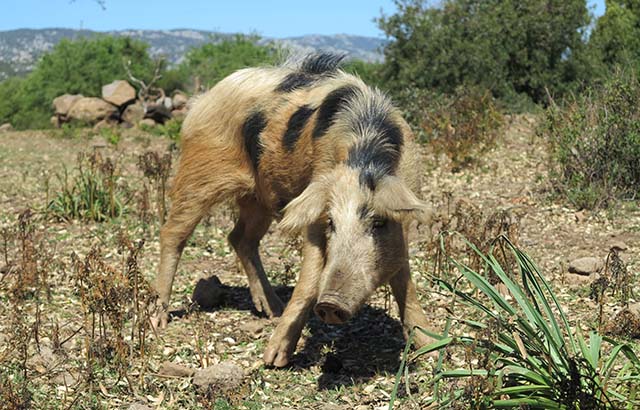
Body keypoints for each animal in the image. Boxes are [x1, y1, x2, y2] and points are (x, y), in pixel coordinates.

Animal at [152, 53, 435, 367]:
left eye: (378, 223)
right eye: (331, 224)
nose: (331, 304)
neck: (364, 156)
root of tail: (202, 100)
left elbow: (404, 278)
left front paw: (431, 348)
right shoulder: (317, 200)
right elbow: (309, 278)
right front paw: (273, 359)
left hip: (259, 198)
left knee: (239, 238)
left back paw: (271, 309)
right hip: (198, 173)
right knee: (172, 233)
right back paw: (158, 320)